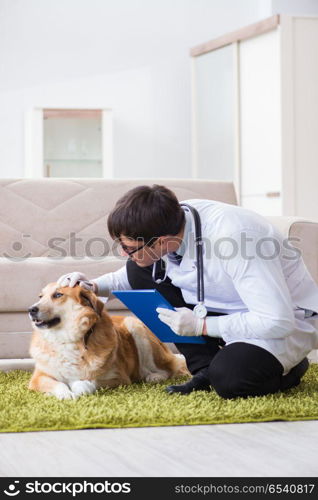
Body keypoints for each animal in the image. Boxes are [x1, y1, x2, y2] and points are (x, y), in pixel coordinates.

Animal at [28, 284, 189, 400]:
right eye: (40, 296)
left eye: (58, 295)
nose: (31, 309)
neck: (68, 339)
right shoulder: (38, 378)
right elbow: (58, 384)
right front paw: (65, 393)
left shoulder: (118, 377)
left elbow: (87, 382)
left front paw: (78, 386)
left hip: (134, 324)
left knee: (167, 369)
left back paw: (154, 376)